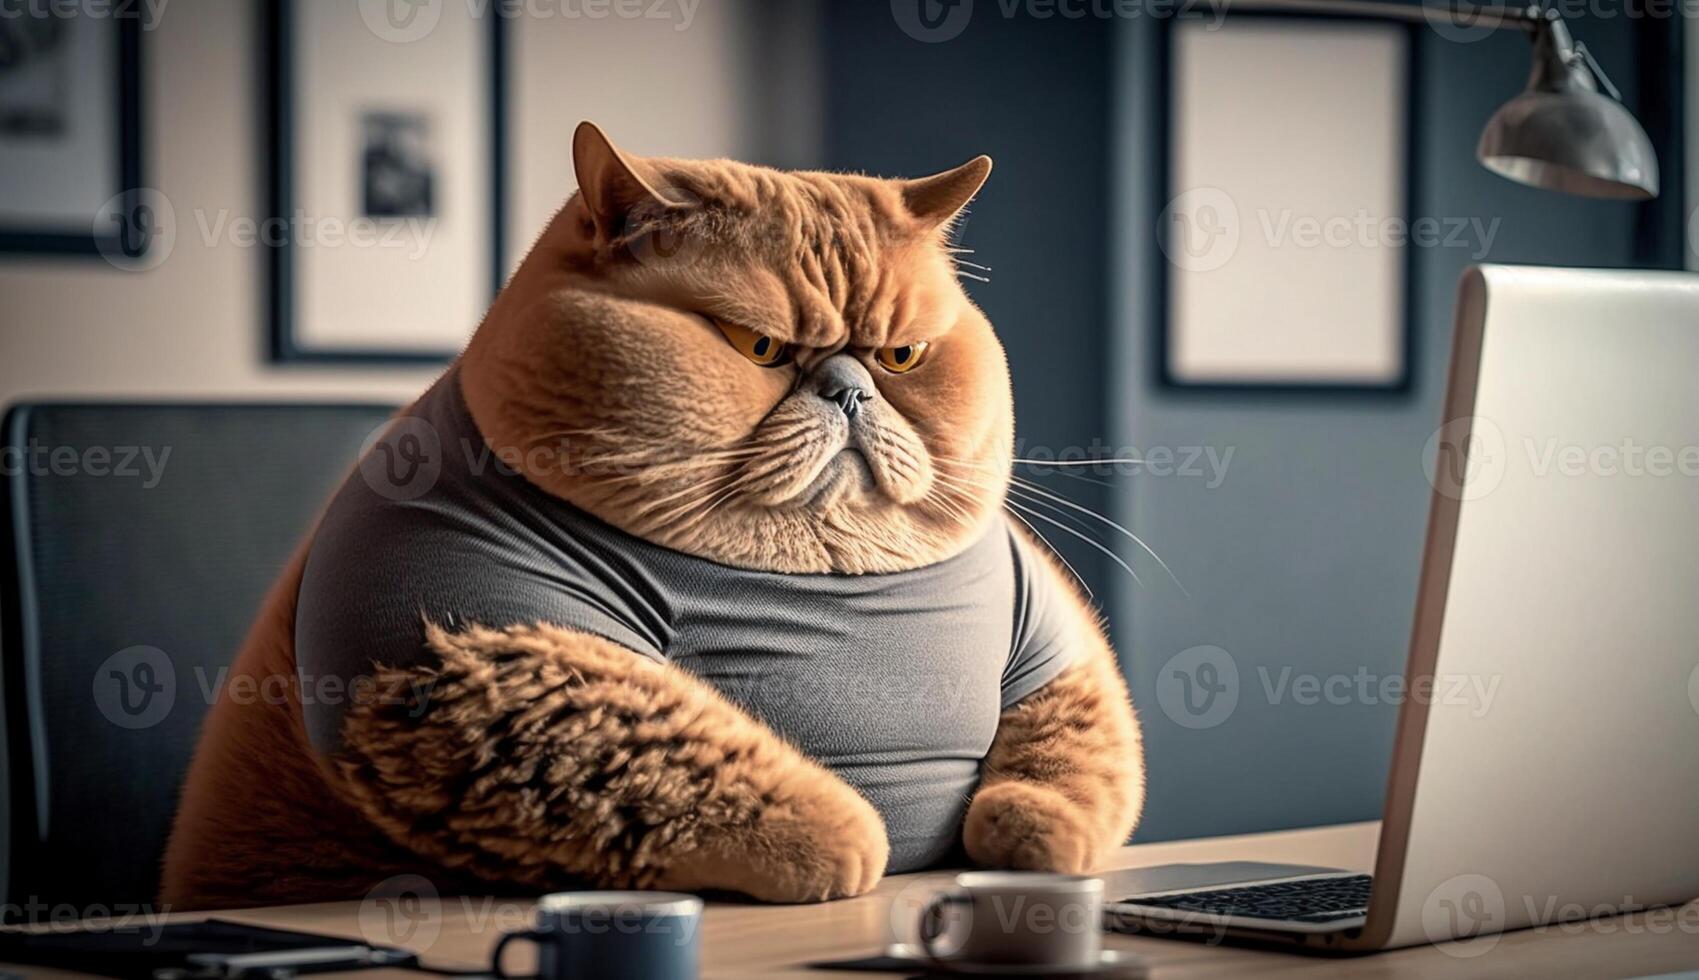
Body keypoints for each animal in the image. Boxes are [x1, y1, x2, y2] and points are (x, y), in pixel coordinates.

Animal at [162, 123, 1141, 910]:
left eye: (900, 357)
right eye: (758, 347)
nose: (851, 388)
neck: (816, 567)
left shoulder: (1054, 642)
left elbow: (1072, 762)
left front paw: (1026, 834)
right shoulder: (475, 649)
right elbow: (706, 759)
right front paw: (848, 840)